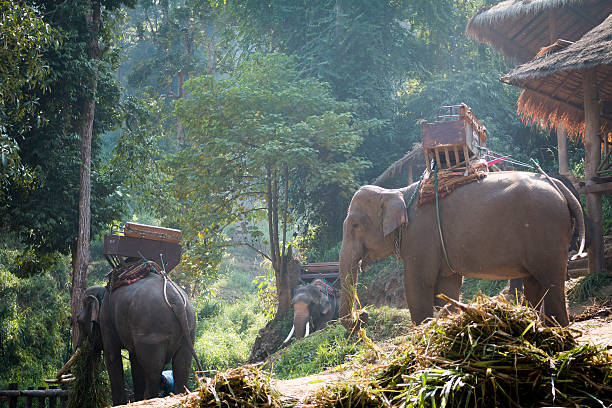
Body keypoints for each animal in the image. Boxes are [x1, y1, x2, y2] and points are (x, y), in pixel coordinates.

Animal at [76, 270, 201, 406]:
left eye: (79, 321)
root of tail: (176, 298)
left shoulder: (106, 321)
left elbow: (112, 357)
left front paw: (119, 404)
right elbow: (135, 361)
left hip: (151, 331)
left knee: (153, 371)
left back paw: (150, 400)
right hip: (189, 329)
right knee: (182, 366)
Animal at [338, 171, 584, 326]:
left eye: (354, 225)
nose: (363, 316)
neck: (396, 192)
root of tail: (558, 186)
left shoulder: (420, 236)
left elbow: (417, 287)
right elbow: (447, 288)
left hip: (548, 234)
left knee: (552, 281)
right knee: (535, 282)